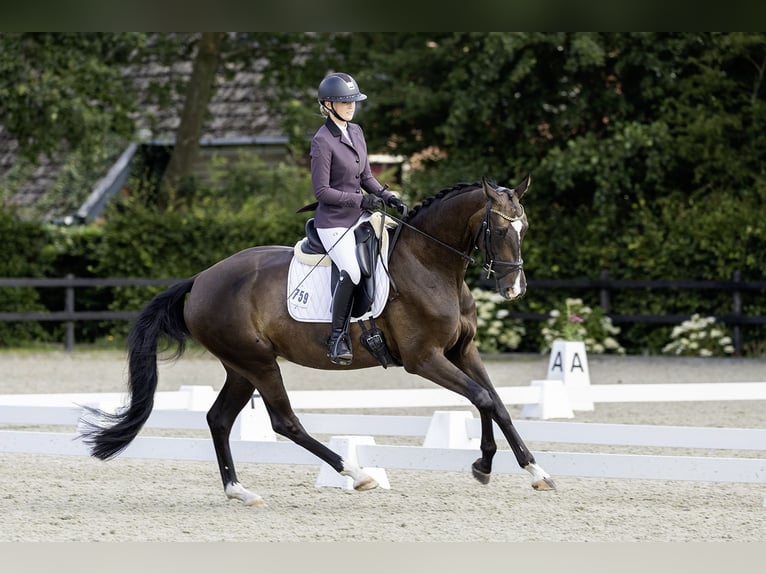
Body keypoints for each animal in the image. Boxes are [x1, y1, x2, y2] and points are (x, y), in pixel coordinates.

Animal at [79, 177, 560, 508]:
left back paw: (240, 491)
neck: (430, 264)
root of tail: (201, 279)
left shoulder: (463, 351)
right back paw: (356, 472)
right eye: (499, 230)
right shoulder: (424, 359)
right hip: (258, 363)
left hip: (241, 367)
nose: (514, 289)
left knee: (219, 419)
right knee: (284, 422)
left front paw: (524, 469)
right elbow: (482, 397)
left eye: (526, 227)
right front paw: (492, 464)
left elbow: (494, 401)